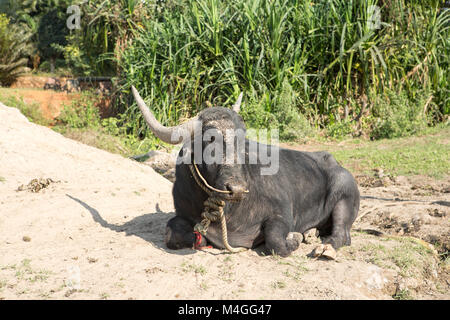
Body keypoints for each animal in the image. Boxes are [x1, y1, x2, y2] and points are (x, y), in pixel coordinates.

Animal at [132, 85, 360, 258]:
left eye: (242, 139)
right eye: (210, 138)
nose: (237, 189)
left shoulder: (283, 212)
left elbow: (276, 242)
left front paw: (294, 237)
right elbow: (173, 235)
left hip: (345, 197)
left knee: (342, 234)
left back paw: (324, 247)